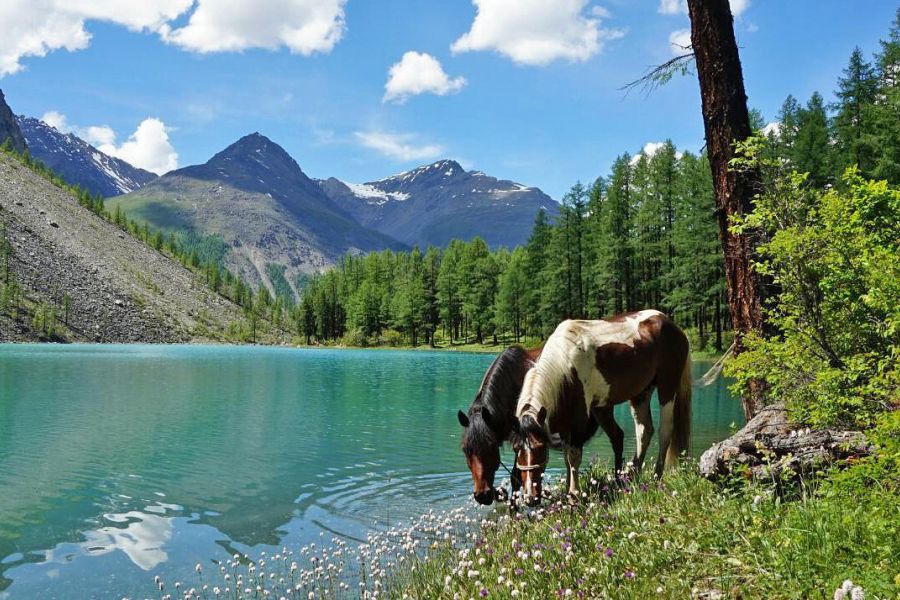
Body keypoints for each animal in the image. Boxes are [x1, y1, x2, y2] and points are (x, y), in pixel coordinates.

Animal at [510, 312, 692, 504]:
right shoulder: (565, 421)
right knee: (644, 431)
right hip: (641, 393)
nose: (529, 497)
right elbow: (567, 457)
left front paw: (574, 495)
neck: (565, 365)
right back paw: (633, 476)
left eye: (540, 447)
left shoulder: (578, 418)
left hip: (667, 386)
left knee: (665, 431)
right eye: (516, 449)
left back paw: (657, 476)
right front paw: (567, 493)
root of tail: (670, 323)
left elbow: (573, 456)